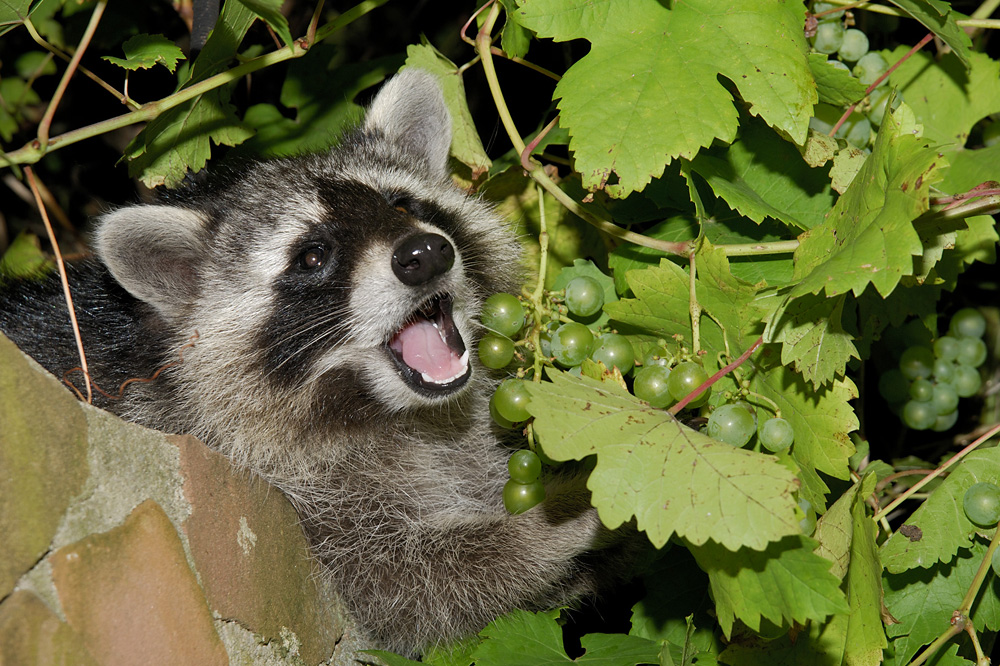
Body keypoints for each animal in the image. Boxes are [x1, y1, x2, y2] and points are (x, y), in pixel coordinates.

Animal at [0, 70, 624, 652]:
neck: (397, 411)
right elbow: (412, 583)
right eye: (313, 256)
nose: (425, 253)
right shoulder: (276, 486)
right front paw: (565, 511)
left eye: (402, 204)